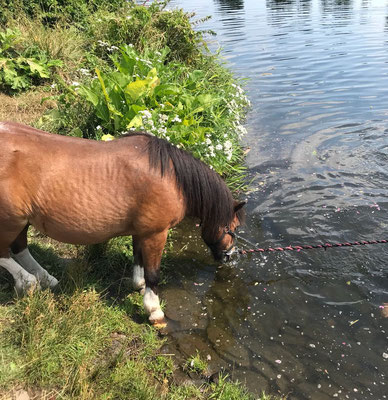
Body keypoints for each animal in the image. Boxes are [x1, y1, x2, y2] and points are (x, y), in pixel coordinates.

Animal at [0, 122, 246, 328]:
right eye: (233, 229)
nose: (230, 256)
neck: (172, 177)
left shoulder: (142, 232)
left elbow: (138, 259)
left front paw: (138, 284)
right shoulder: (156, 233)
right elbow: (154, 273)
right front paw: (154, 310)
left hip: (22, 221)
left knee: (20, 248)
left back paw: (45, 278)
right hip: (10, 221)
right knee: (4, 253)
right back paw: (27, 282)